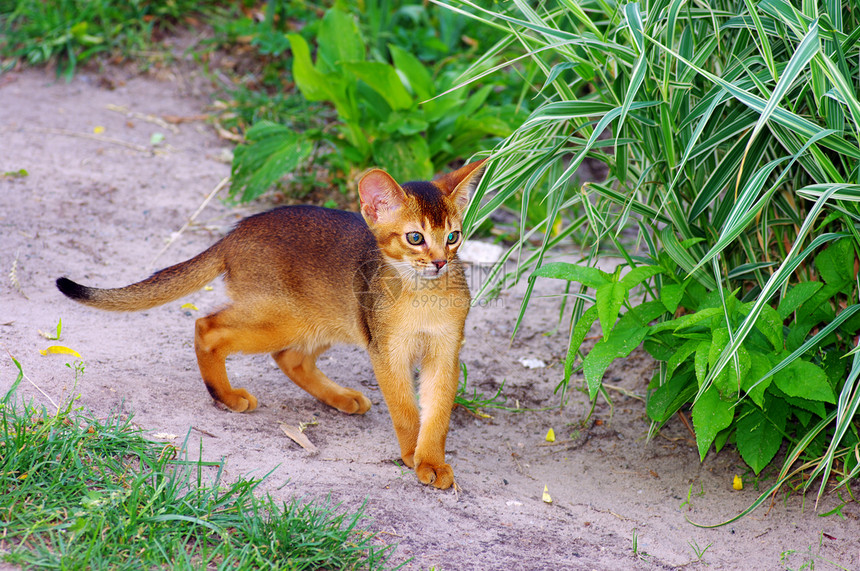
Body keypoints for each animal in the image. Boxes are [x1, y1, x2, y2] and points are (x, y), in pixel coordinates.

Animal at [57, 159, 488, 490]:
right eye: (415, 238)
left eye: (453, 236)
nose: (440, 262)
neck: (424, 299)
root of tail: (234, 233)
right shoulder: (386, 351)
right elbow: (406, 411)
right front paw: (412, 454)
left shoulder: (445, 353)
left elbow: (437, 415)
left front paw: (431, 461)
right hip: (281, 317)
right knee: (207, 327)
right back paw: (226, 395)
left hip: (323, 319)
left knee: (289, 358)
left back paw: (341, 399)